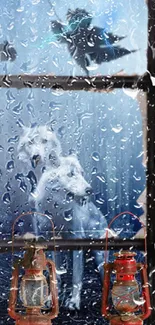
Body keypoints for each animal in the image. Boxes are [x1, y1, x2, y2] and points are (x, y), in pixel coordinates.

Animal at [17, 124, 108, 308]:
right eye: (71, 174)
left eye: (82, 173)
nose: (89, 190)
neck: (56, 210)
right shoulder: (47, 239)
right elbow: (54, 275)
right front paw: (49, 300)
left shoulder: (77, 241)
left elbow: (76, 277)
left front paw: (73, 302)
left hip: (99, 257)